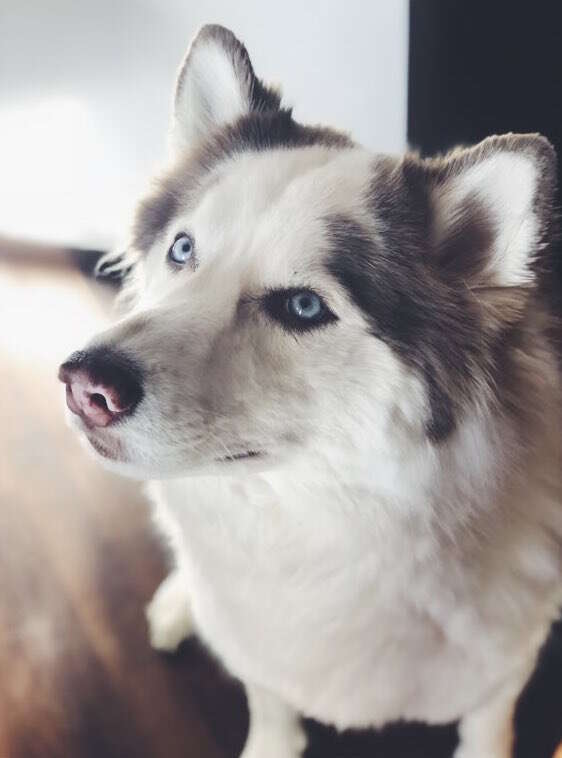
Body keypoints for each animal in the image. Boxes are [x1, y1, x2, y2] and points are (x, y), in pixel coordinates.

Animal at [58, 23, 560, 758]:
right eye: (183, 249)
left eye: (302, 307)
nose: (85, 384)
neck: (323, 532)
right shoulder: (262, 655)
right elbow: (269, 703)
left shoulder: (502, 673)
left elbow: (486, 728)